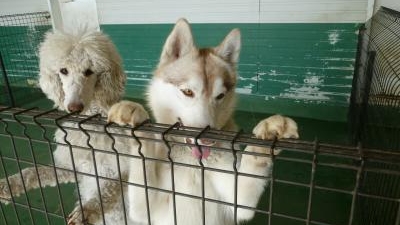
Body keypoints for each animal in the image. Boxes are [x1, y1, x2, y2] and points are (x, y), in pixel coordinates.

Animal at [108, 18, 298, 225]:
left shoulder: (239, 201)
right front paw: (134, 113)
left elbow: (250, 168)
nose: (207, 140)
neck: (192, 162)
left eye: (220, 96)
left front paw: (269, 132)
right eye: (187, 92)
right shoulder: (143, 208)